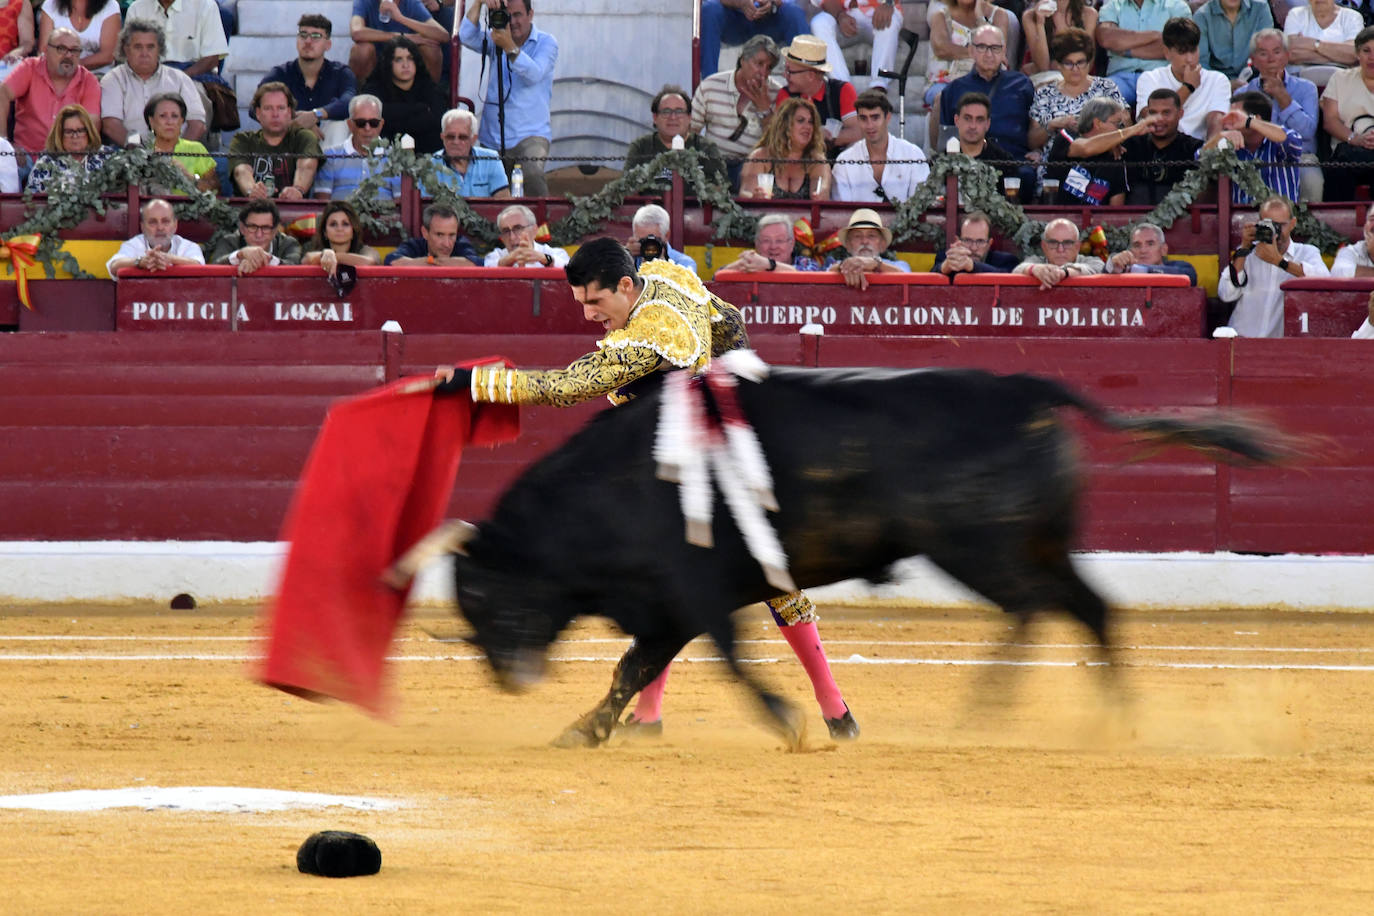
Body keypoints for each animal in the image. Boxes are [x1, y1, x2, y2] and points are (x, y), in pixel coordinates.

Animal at [447, 368, 1286, 752]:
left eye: (482, 597)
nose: (504, 677)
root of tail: (1028, 386)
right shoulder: (668, 606)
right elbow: (635, 668)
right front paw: (583, 732)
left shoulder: (691, 593)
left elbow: (719, 658)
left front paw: (787, 720)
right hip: (1040, 540)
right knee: (1089, 607)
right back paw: (1115, 717)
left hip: (979, 548)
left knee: (1033, 605)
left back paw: (985, 712)